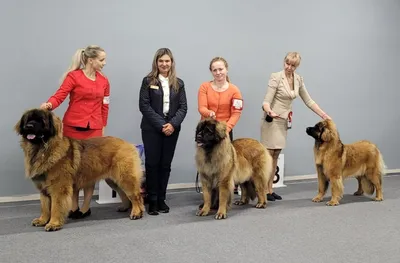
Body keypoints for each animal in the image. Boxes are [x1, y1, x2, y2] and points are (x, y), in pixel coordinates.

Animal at [14, 108, 145, 232]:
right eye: (28, 120)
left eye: (41, 120)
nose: (29, 126)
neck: (42, 149)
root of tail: (129, 144)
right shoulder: (43, 187)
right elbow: (45, 206)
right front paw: (42, 220)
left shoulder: (58, 187)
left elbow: (56, 206)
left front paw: (53, 223)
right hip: (113, 180)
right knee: (123, 193)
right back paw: (125, 207)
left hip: (125, 178)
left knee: (136, 195)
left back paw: (137, 212)